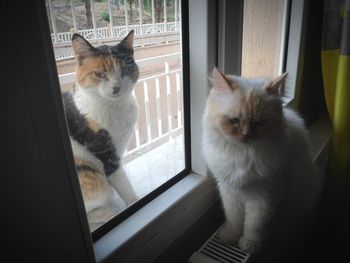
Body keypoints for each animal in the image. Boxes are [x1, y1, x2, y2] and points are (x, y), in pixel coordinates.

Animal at [62, 30, 139, 219]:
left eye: (124, 70)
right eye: (99, 74)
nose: (116, 88)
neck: (116, 107)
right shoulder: (108, 156)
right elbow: (123, 185)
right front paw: (135, 201)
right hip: (94, 179)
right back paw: (108, 212)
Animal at [202, 68, 320, 254]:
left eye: (261, 122)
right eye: (234, 120)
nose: (246, 136)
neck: (243, 154)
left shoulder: (264, 194)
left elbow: (254, 224)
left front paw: (249, 244)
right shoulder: (230, 191)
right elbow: (234, 219)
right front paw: (230, 237)